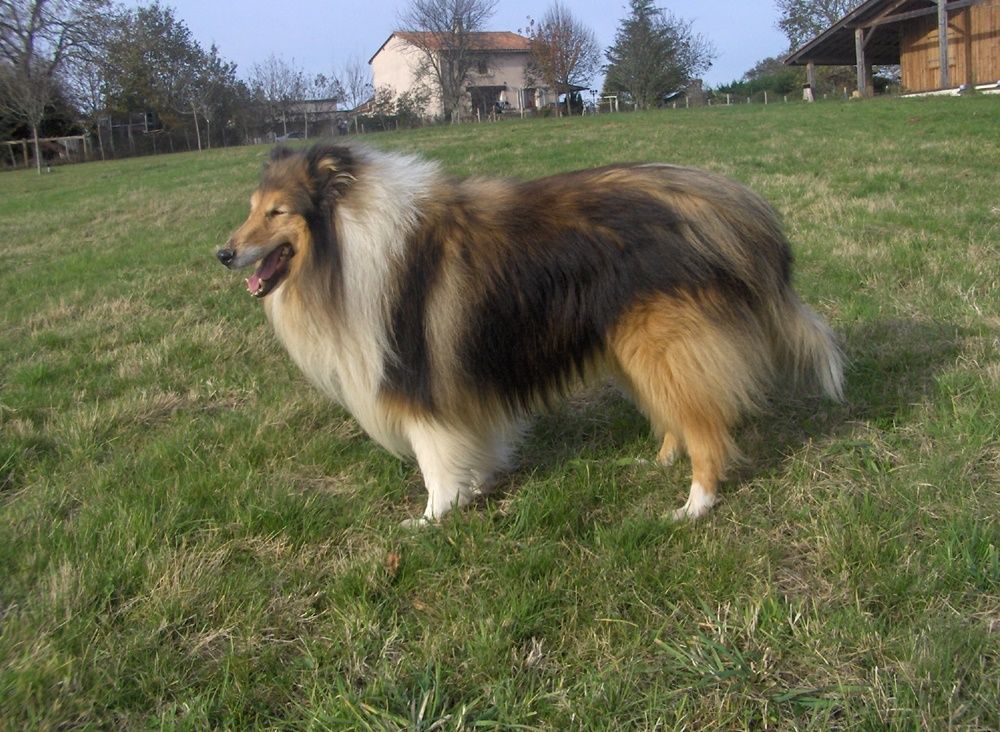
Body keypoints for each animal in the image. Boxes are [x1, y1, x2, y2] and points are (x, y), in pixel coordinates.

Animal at [219, 142, 844, 520]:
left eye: (277, 212)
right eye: (251, 207)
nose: (222, 253)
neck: (346, 245)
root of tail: (714, 202)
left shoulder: (417, 377)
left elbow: (433, 458)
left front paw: (431, 519)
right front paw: (474, 489)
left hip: (663, 346)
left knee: (706, 426)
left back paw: (694, 505)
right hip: (634, 348)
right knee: (682, 414)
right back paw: (662, 460)